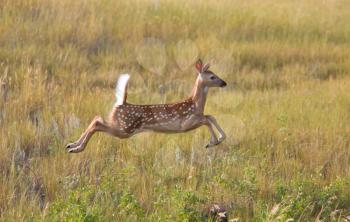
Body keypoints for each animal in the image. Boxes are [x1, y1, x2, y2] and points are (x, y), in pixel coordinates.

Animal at [66, 59, 227, 153]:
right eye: (212, 77)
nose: (224, 83)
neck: (195, 104)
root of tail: (122, 103)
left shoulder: (197, 117)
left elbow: (210, 116)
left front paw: (219, 139)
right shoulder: (186, 123)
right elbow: (206, 120)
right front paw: (212, 142)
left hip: (121, 126)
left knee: (96, 118)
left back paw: (71, 145)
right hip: (125, 129)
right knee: (97, 123)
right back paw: (77, 148)